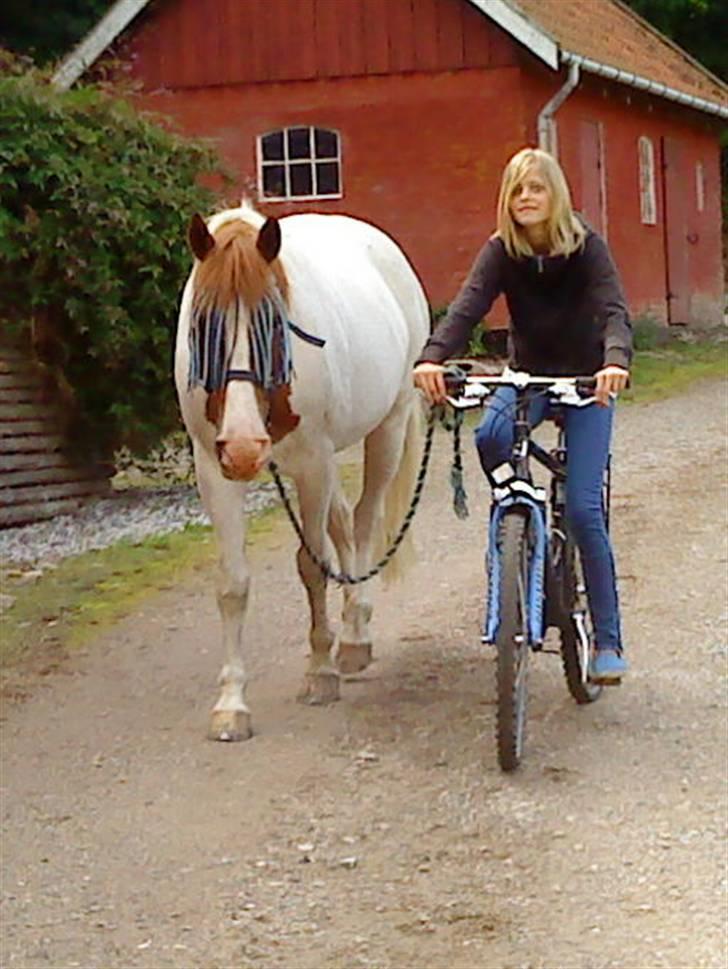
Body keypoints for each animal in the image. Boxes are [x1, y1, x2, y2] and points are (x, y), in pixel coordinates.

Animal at [176, 200, 430, 736]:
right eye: (203, 327)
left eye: (276, 327)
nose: (245, 447)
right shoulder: (214, 470)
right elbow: (232, 583)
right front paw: (232, 702)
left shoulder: (313, 463)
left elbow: (312, 568)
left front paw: (320, 672)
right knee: (343, 524)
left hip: (387, 430)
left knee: (363, 522)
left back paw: (353, 639)